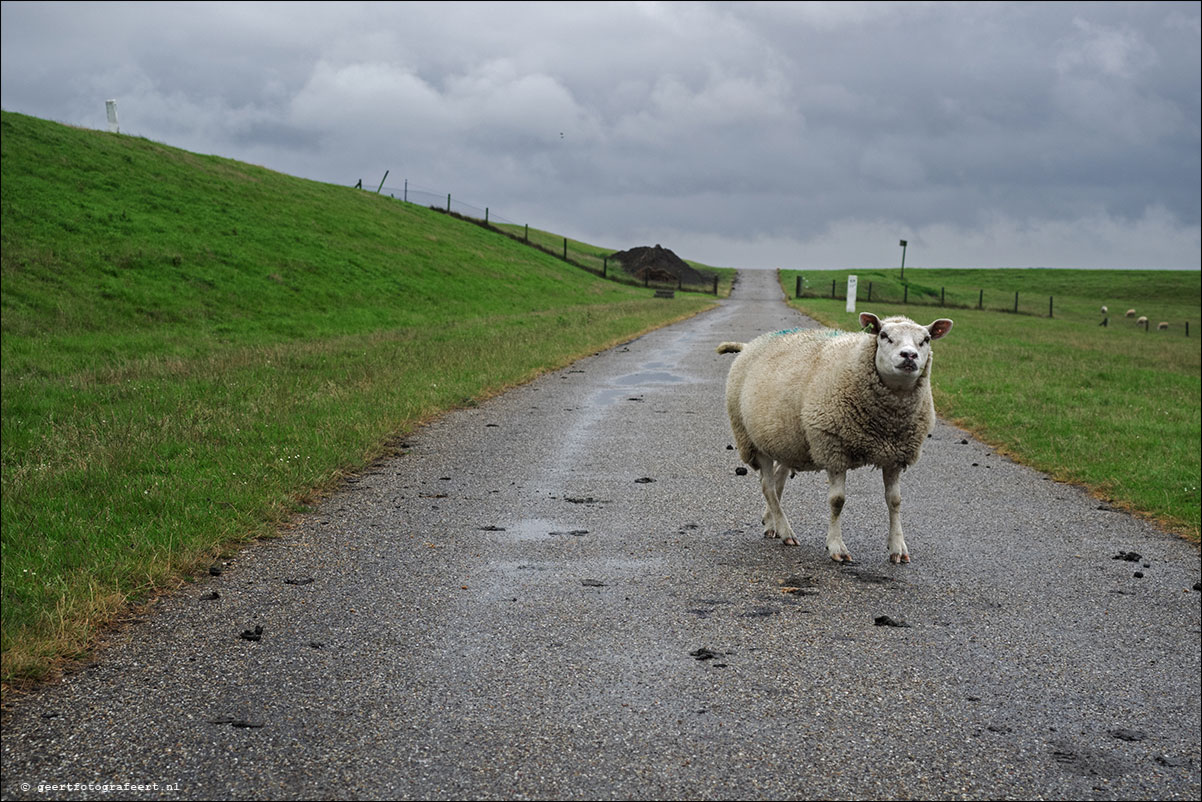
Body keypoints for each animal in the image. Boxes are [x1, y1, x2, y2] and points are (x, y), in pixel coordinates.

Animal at [716, 312, 951, 565]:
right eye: (883, 335)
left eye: (926, 339)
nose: (909, 355)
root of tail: (750, 344)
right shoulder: (833, 448)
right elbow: (837, 501)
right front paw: (837, 547)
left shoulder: (894, 455)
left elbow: (895, 500)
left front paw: (897, 547)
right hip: (751, 439)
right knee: (768, 486)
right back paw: (786, 531)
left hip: (786, 441)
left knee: (778, 481)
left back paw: (772, 524)